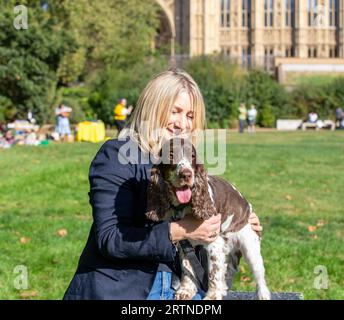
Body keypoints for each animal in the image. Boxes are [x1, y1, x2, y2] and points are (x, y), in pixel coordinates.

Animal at [146, 138, 270, 300]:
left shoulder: (213, 243)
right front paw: (186, 290)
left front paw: (212, 296)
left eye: (192, 156)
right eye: (170, 154)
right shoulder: (186, 244)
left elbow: (213, 273)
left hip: (250, 245)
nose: (186, 174)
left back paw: (262, 294)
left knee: (259, 274)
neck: (182, 206)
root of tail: (247, 206)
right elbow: (187, 268)